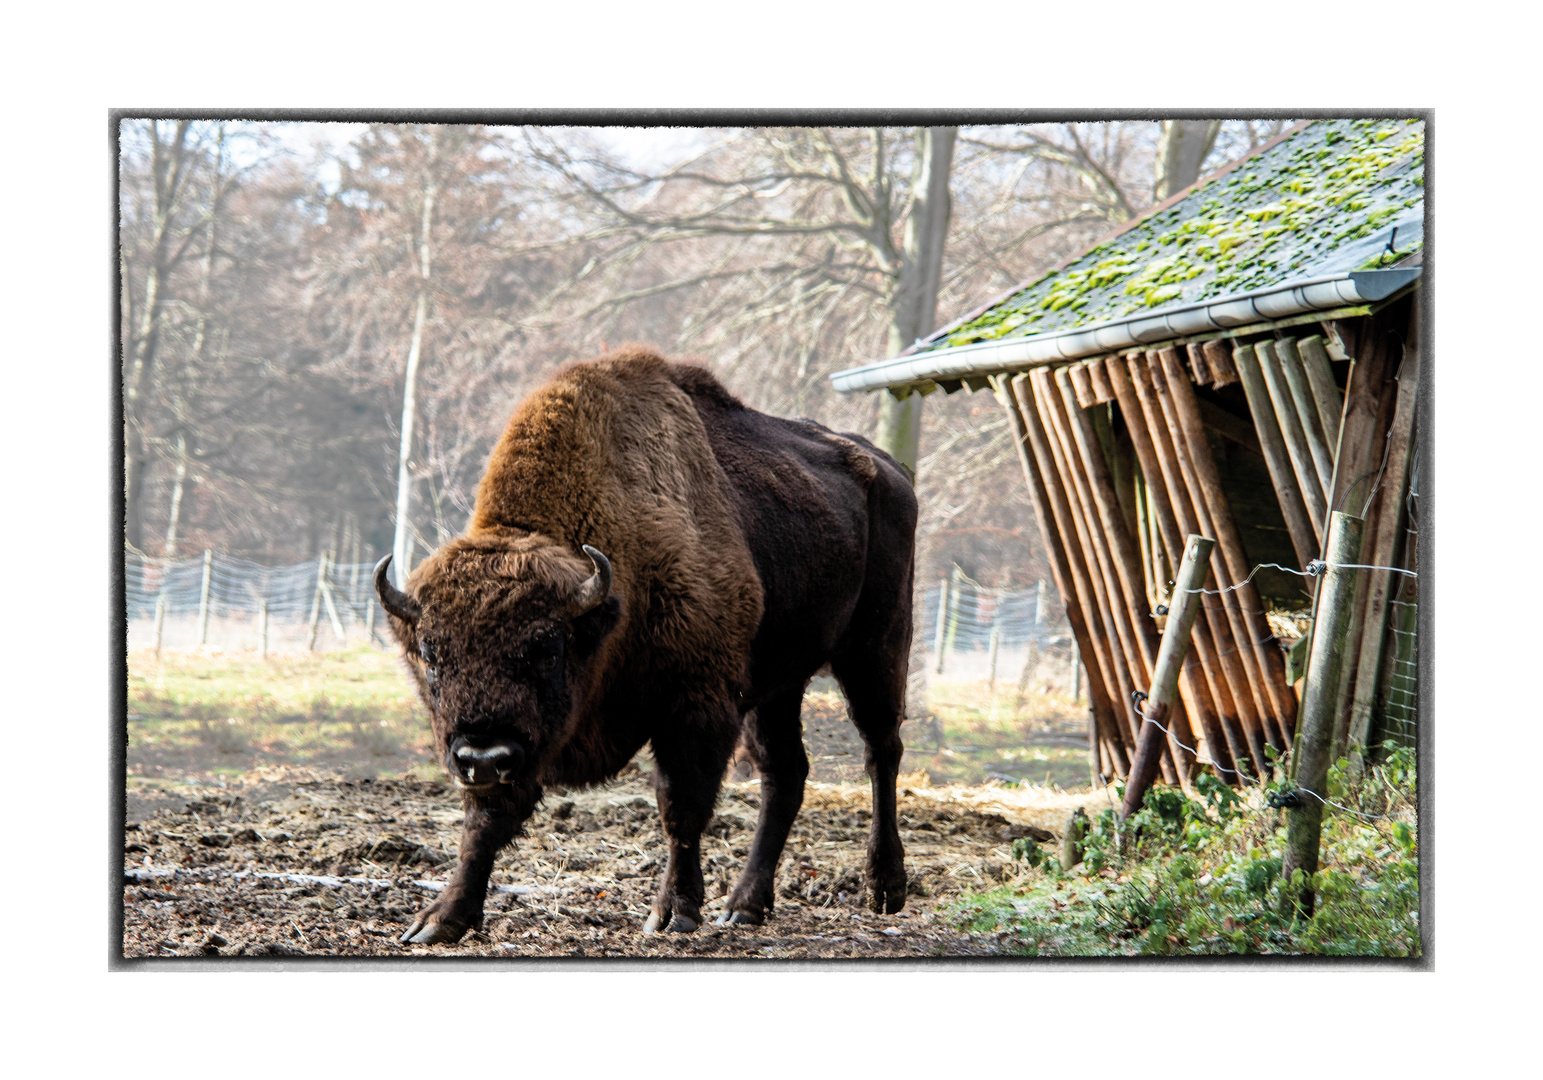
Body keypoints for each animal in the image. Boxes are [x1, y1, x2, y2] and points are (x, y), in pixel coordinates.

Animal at [373, 350, 913, 938]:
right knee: (784, 773)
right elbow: (484, 822)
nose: (484, 754)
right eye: (431, 655)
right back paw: (744, 906)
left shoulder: (695, 706)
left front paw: (673, 911)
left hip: (876, 650)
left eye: (547, 648)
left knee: (881, 751)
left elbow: (680, 805)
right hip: (777, 684)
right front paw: (441, 918)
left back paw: (885, 888)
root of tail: (890, 469)